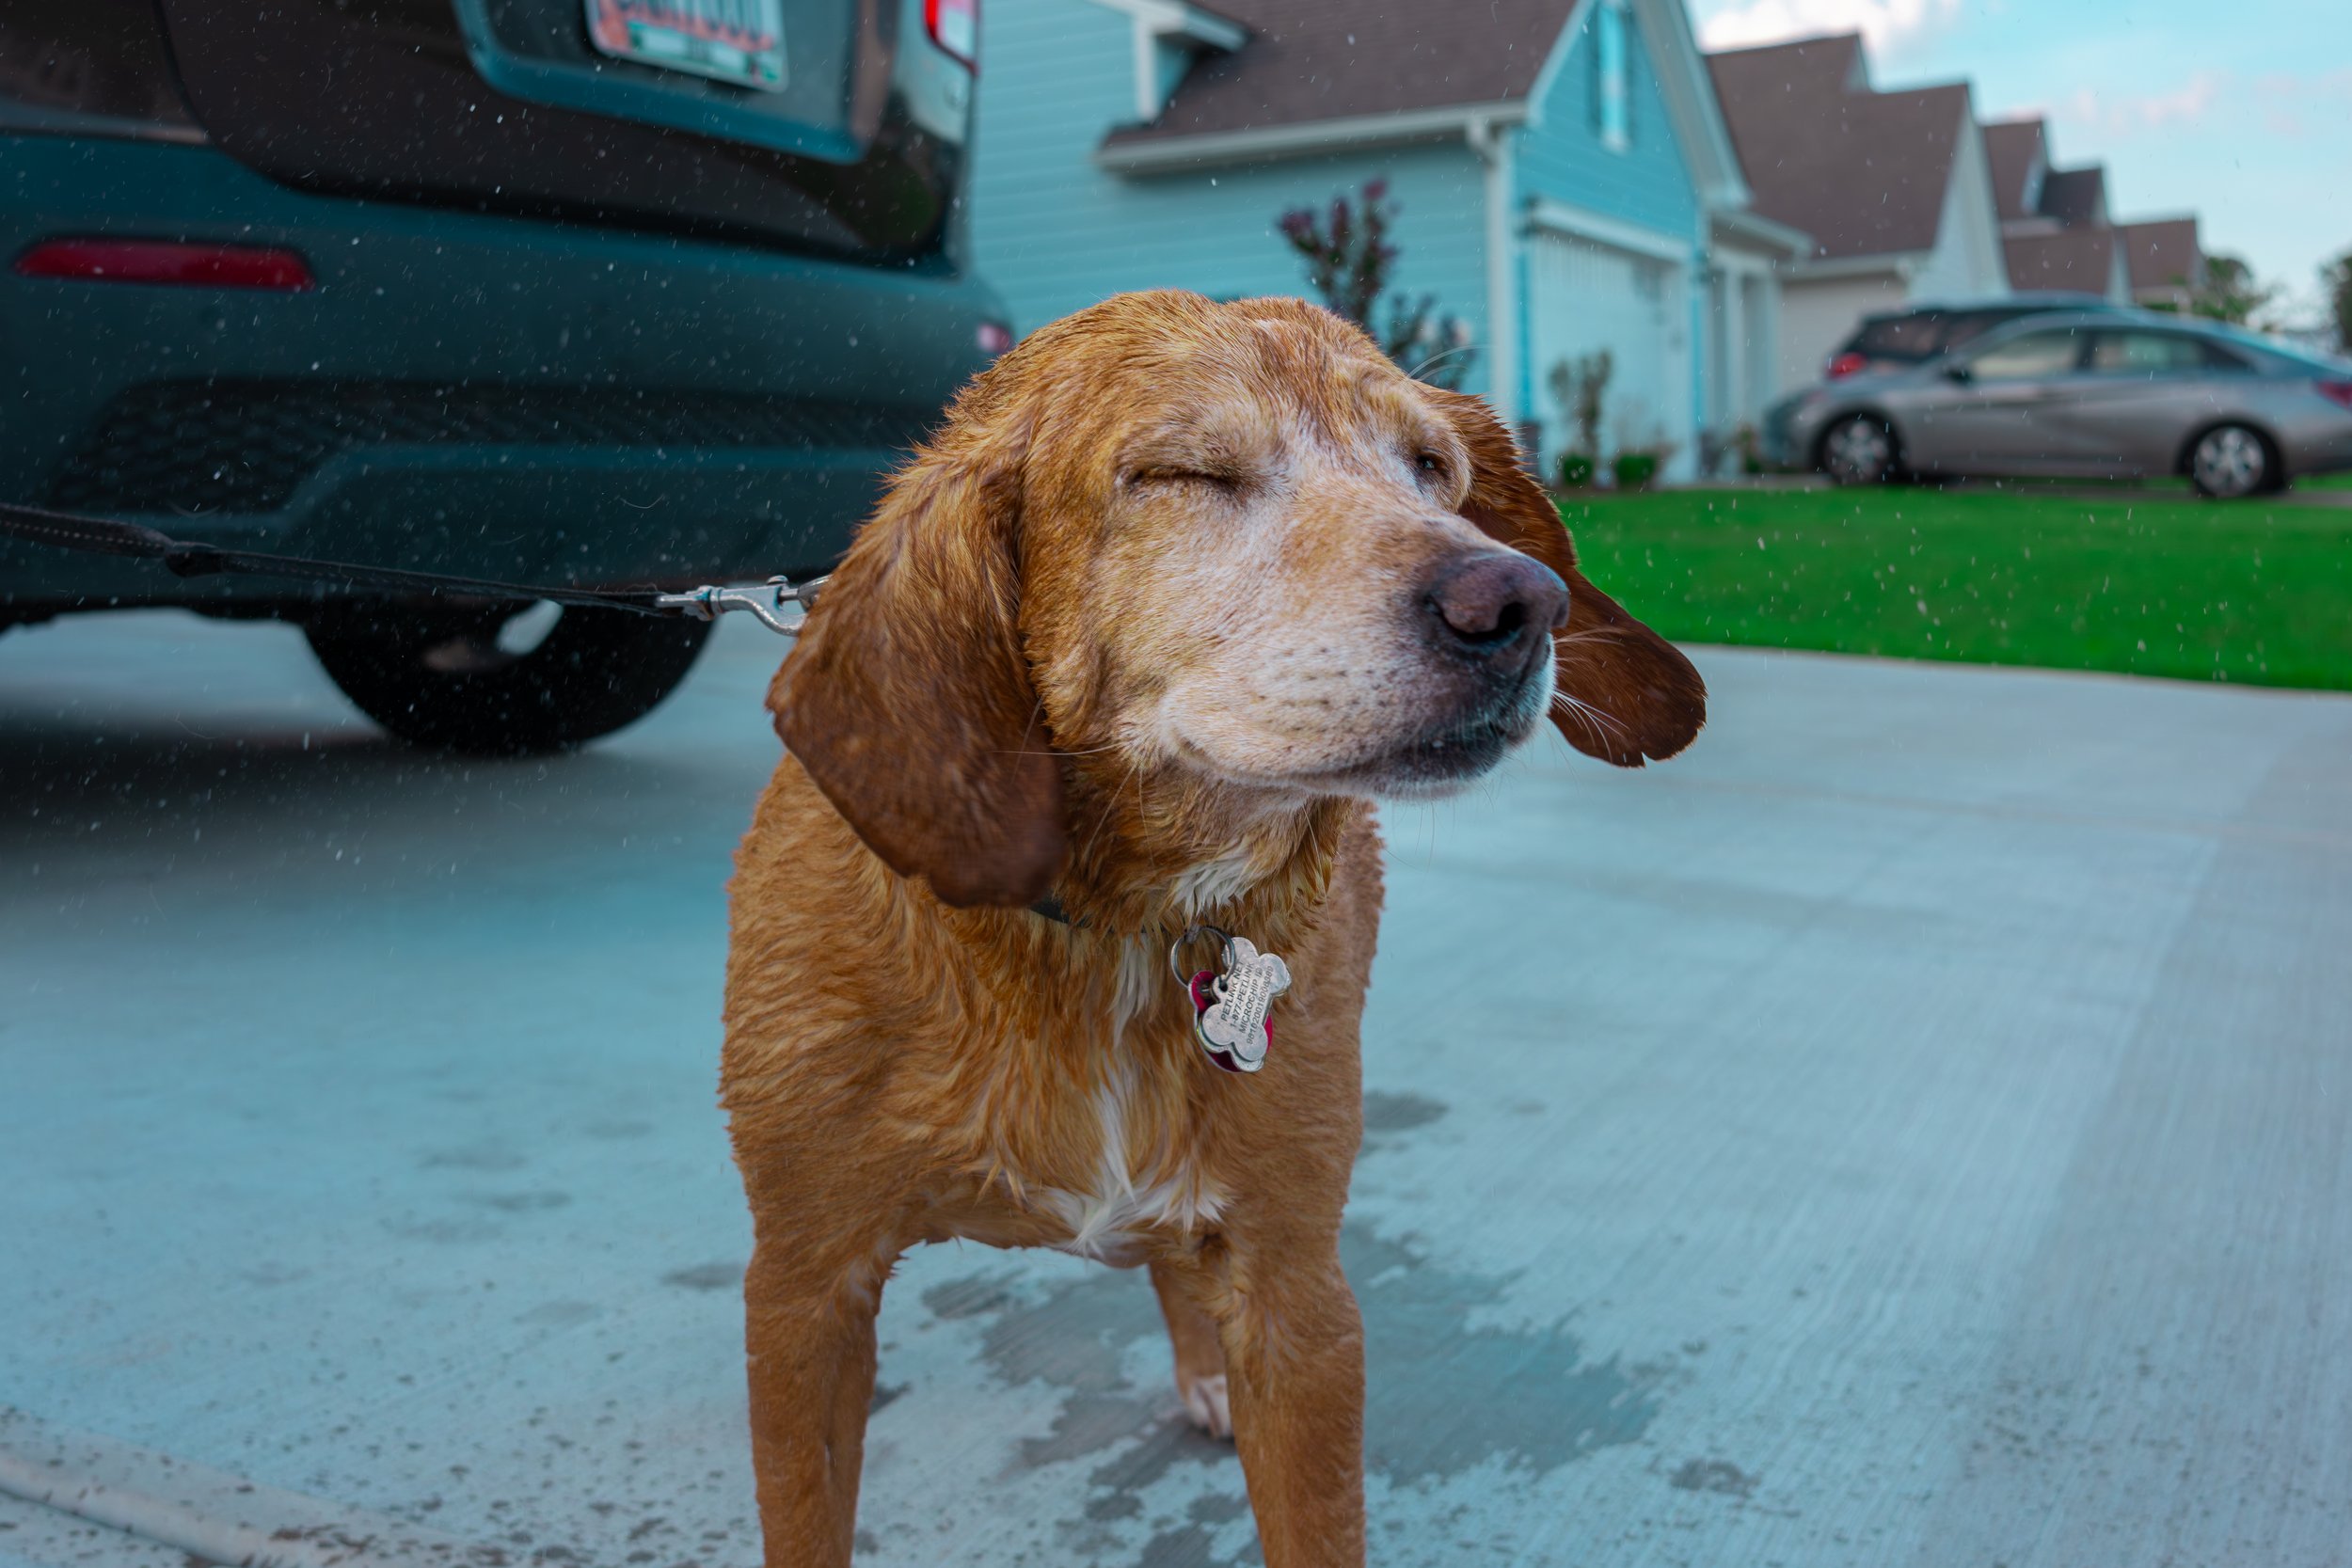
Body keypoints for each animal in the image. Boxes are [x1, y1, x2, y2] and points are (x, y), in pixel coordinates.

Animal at [721, 290, 1704, 1566]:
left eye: (1431, 468)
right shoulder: (804, 1292)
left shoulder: (1300, 1299)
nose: (1520, 599)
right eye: (1183, 472)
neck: (1108, 928)